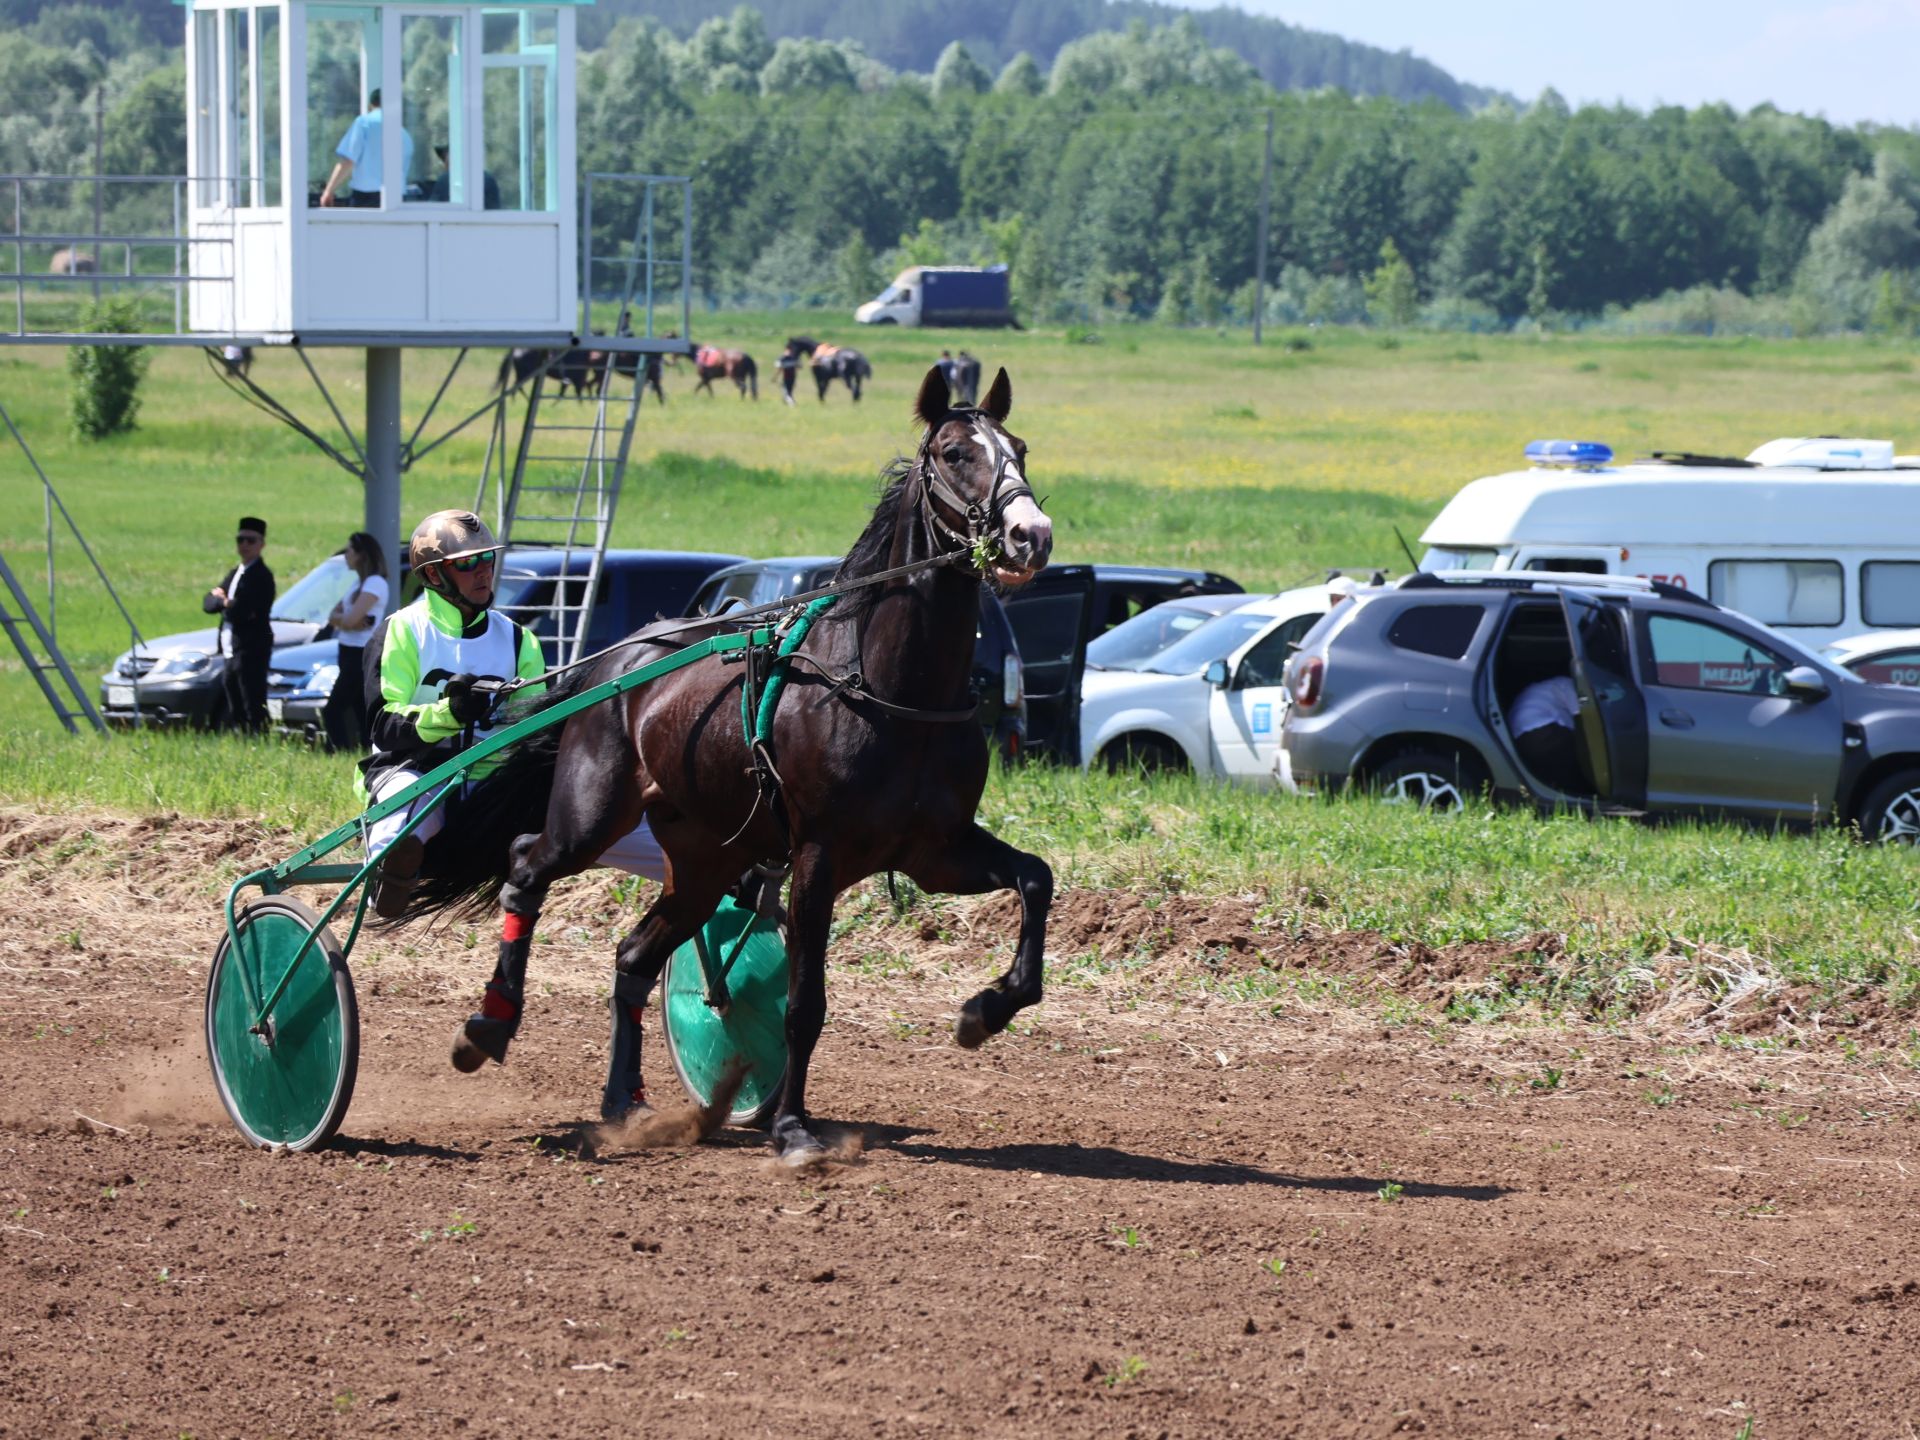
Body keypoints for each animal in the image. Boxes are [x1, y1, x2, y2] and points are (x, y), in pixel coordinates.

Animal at [399, 366, 1059, 1167]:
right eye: (956, 452)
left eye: (1019, 446)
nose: (1031, 535)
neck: (892, 688)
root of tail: (611, 664)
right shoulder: (817, 856)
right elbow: (804, 1003)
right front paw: (794, 1128)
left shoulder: (935, 850)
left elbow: (1036, 879)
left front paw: (984, 1010)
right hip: (593, 813)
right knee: (527, 863)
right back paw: (488, 1025)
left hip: (705, 856)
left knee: (632, 958)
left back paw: (624, 1101)